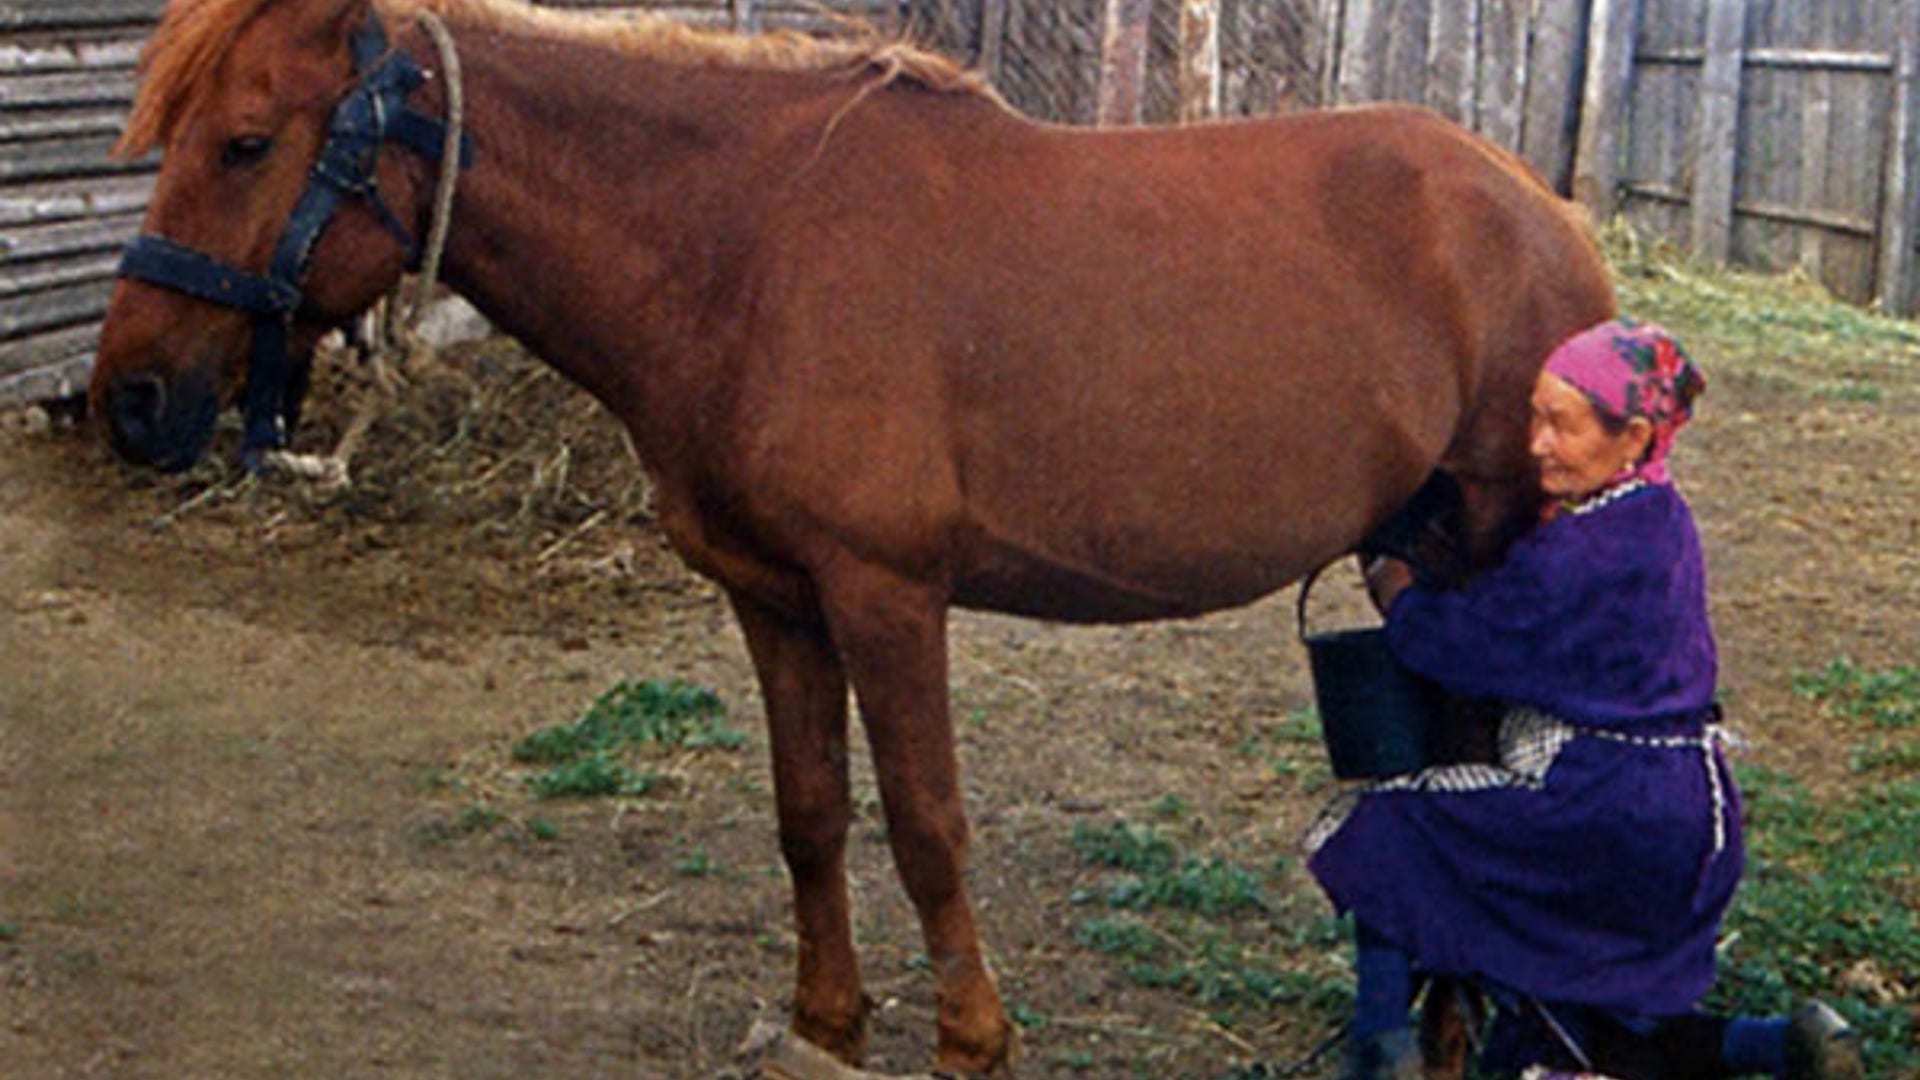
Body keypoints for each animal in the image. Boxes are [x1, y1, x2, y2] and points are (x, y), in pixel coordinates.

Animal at [90, 0, 1616, 1073]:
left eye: (244, 140)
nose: (131, 401)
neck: (747, 248)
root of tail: (1537, 206)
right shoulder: (772, 599)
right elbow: (810, 813)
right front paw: (827, 1024)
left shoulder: (887, 598)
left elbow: (928, 827)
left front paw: (971, 1039)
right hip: (1419, 558)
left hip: (1490, 545)